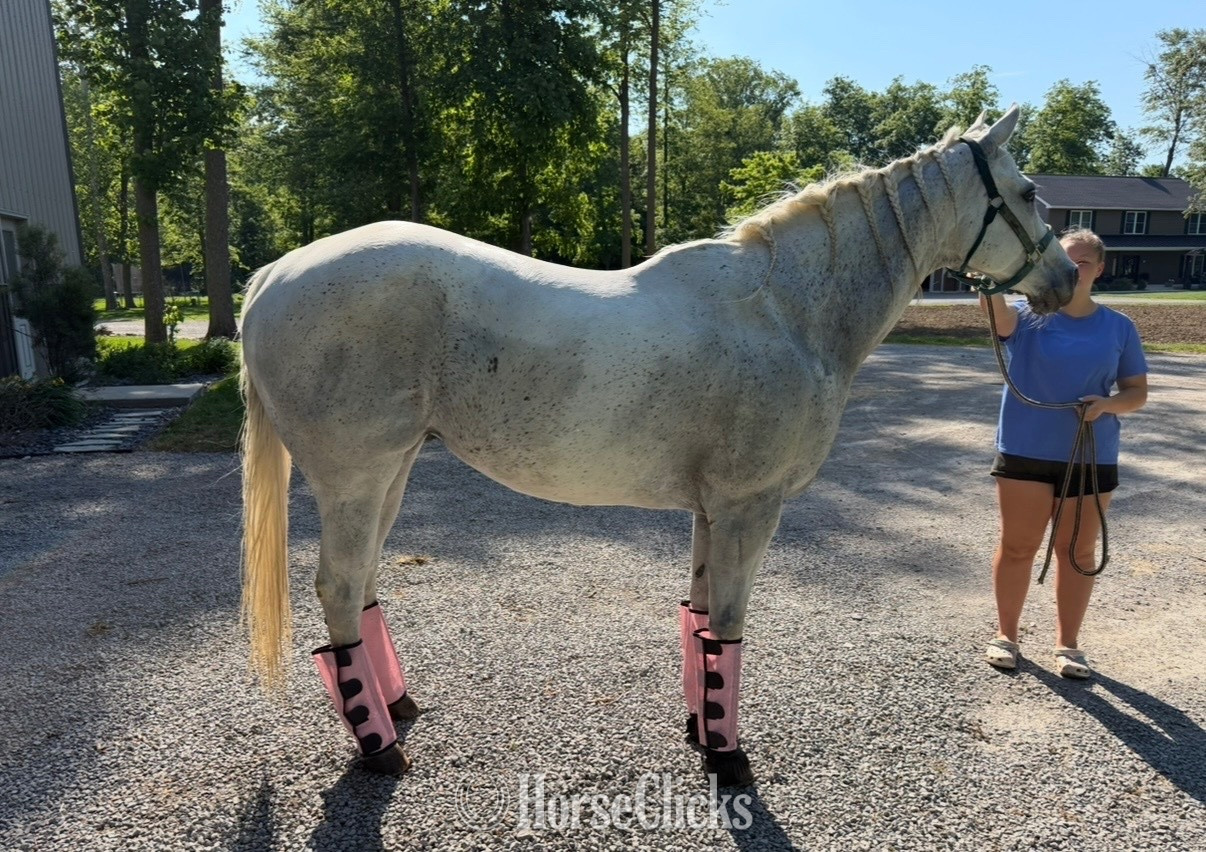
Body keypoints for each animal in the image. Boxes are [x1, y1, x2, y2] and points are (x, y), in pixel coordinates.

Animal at [239, 106, 1075, 786]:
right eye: (1028, 191)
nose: (1068, 278)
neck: (786, 312)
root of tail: (274, 275)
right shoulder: (749, 507)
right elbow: (730, 626)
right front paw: (729, 759)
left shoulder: (712, 510)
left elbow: (700, 622)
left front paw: (702, 732)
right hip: (354, 477)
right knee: (338, 588)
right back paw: (379, 747)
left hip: (394, 470)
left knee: (363, 584)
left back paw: (399, 708)